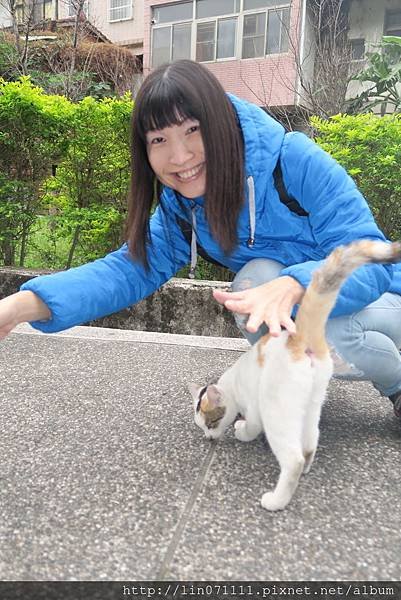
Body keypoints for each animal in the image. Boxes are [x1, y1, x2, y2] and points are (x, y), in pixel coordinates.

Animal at [188, 240, 400, 510]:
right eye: (202, 426)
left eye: (210, 423)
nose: (208, 437)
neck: (232, 385)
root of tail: (299, 338)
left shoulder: (255, 408)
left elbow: (252, 426)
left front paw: (241, 431)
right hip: (310, 404)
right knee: (309, 443)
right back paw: (306, 469)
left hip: (276, 409)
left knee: (293, 458)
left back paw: (276, 500)